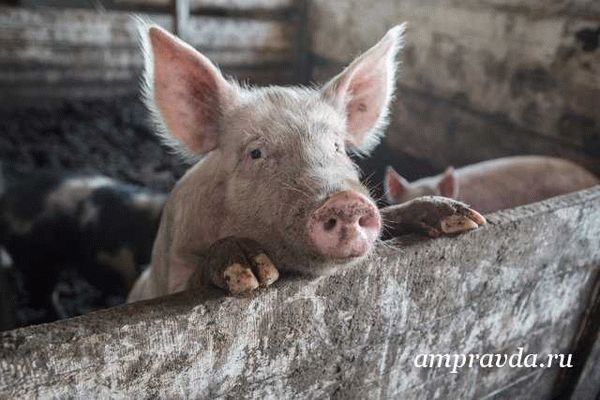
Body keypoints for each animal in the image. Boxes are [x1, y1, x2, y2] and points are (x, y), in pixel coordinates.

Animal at [127, 23, 488, 302]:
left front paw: (464, 220)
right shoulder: (173, 268)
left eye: (338, 146)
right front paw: (250, 270)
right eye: (255, 153)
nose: (345, 200)